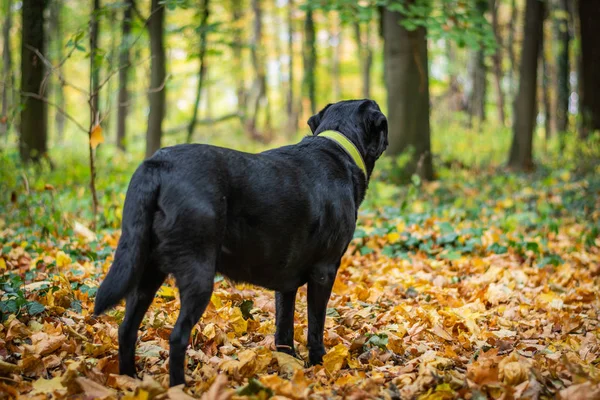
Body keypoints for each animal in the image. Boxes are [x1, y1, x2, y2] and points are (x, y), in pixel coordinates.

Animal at [93, 98, 386, 386]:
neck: (340, 144)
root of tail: (158, 165)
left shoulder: (287, 281)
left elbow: (284, 325)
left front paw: (288, 362)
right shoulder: (324, 270)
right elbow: (316, 324)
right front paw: (320, 365)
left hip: (144, 268)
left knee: (126, 329)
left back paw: (129, 380)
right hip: (198, 272)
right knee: (177, 337)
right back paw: (178, 388)